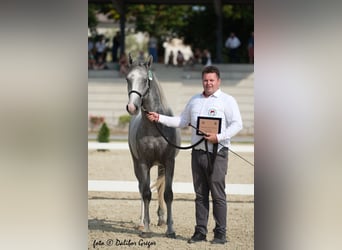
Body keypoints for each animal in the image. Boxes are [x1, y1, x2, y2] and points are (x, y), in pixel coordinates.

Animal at [125, 53, 179, 237]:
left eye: (144, 80)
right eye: (128, 78)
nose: (132, 107)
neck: (155, 128)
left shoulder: (169, 162)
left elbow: (168, 194)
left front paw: (170, 229)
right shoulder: (142, 164)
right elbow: (146, 193)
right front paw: (147, 228)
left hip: (160, 166)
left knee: (160, 189)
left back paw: (161, 218)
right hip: (137, 165)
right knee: (142, 189)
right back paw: (142, 223)